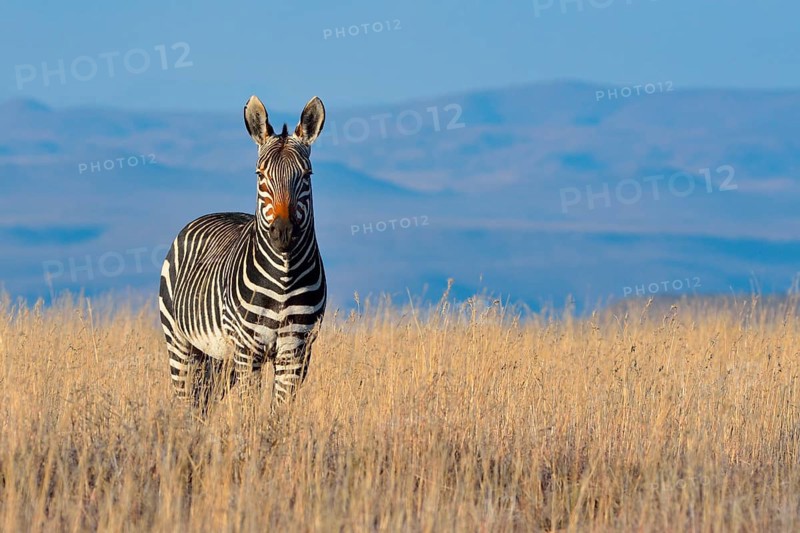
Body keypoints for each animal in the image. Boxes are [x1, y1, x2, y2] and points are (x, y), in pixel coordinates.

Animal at [158, 95, 327, 413]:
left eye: (307, 175)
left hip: (219, 358)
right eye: (260, 175)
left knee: (203, 403)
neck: (284, 277)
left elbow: (279, 415)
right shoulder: (249, 351)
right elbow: (250, 412)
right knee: (187, 403)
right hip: (181, 344)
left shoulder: (296, 351)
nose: (283, 232)